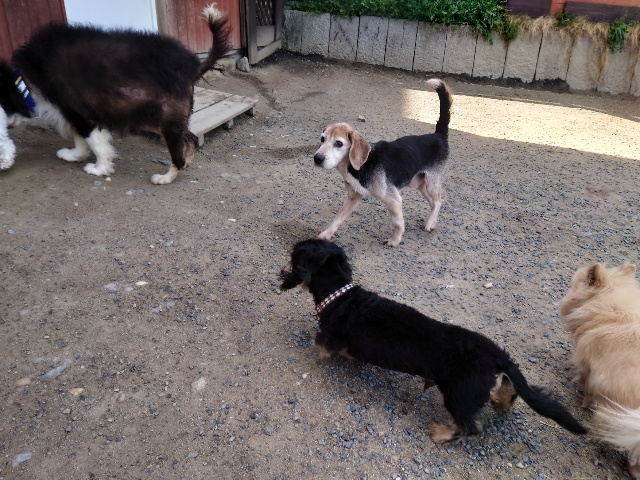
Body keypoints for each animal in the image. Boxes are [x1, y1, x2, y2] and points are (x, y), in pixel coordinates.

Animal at [0, 4, 230, 184]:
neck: (25, 77)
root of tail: (192, 66)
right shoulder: (74, 114)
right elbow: (80, 141)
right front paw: (73, 156)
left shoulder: (81, 113)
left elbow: (95, 144)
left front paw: (98, 169)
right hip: (167, 118)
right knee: (191, 138)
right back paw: (185, 164)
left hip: (164, 119)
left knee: (178, 155)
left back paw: (165, 178)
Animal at [280, 238, 587, 442]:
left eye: (294, 257)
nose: (281, 272)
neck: (340, 295)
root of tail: (494, 353)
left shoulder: (332, 336)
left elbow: (321, 343)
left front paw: (323, 355)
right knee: (507, 391)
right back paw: (500, 401)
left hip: (457, 395)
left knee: (471, 427)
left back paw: (442, 433)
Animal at [313, 79, 452, 247]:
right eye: (322, 139)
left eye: (338, 143)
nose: (317, 158)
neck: (361, 165)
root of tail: (438, 135)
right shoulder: (354, 197)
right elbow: (337, 219)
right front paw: (325, 235)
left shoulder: (393, 200)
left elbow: (398, 224)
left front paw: (394, 241)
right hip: (420, 184)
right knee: (434, 203)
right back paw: (432, 221)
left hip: (431, 182)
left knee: (438, 201)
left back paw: (430, 223)